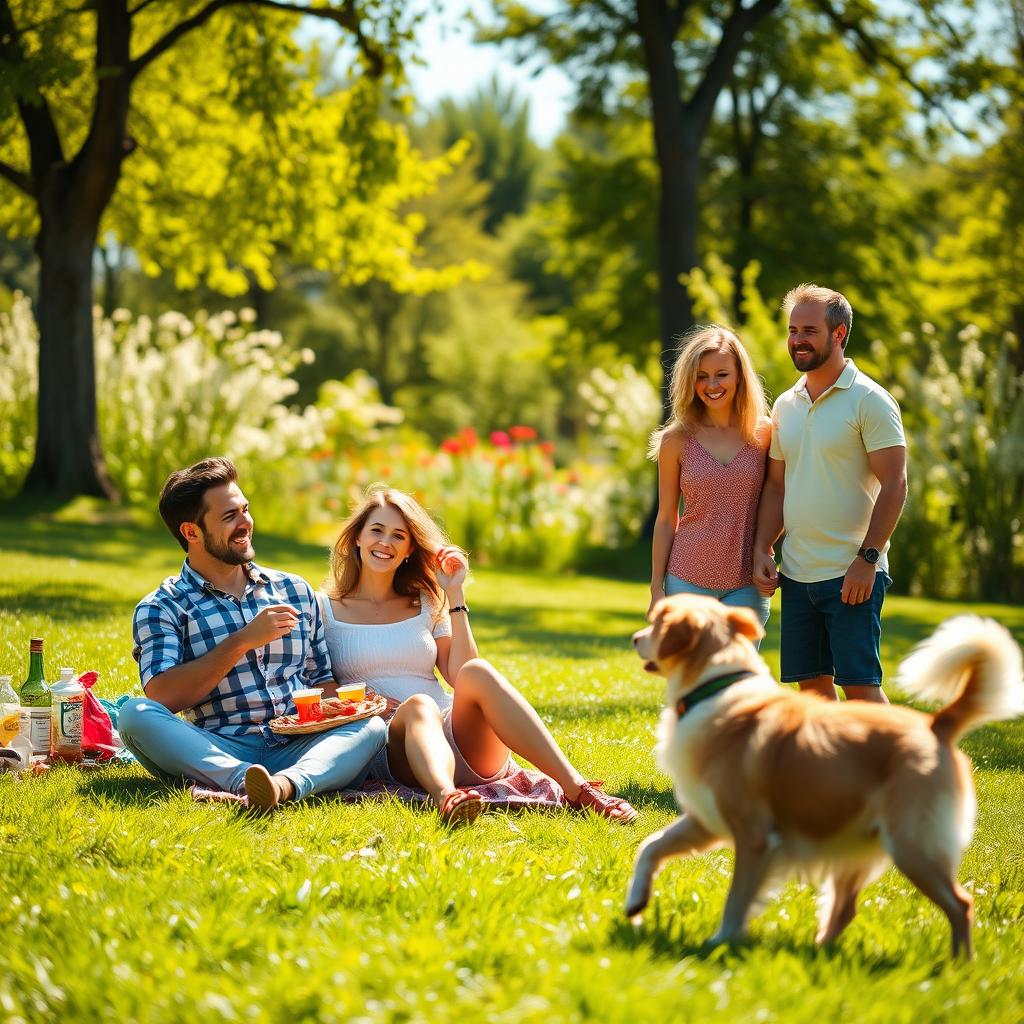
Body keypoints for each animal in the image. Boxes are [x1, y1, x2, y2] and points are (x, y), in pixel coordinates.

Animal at [622, 598, 1024, 954]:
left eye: (657, 622)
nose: (635, 638)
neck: (715, 687)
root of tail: (936, 725)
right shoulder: (707, 820)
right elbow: (651, 846)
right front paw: (636, 902)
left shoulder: (754, 835)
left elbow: (737, 898)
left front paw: (721, 943)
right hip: (857, 843)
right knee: (845, 909)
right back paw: (818, 952)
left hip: (913, 845)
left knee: (961, 905)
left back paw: (958, 966)